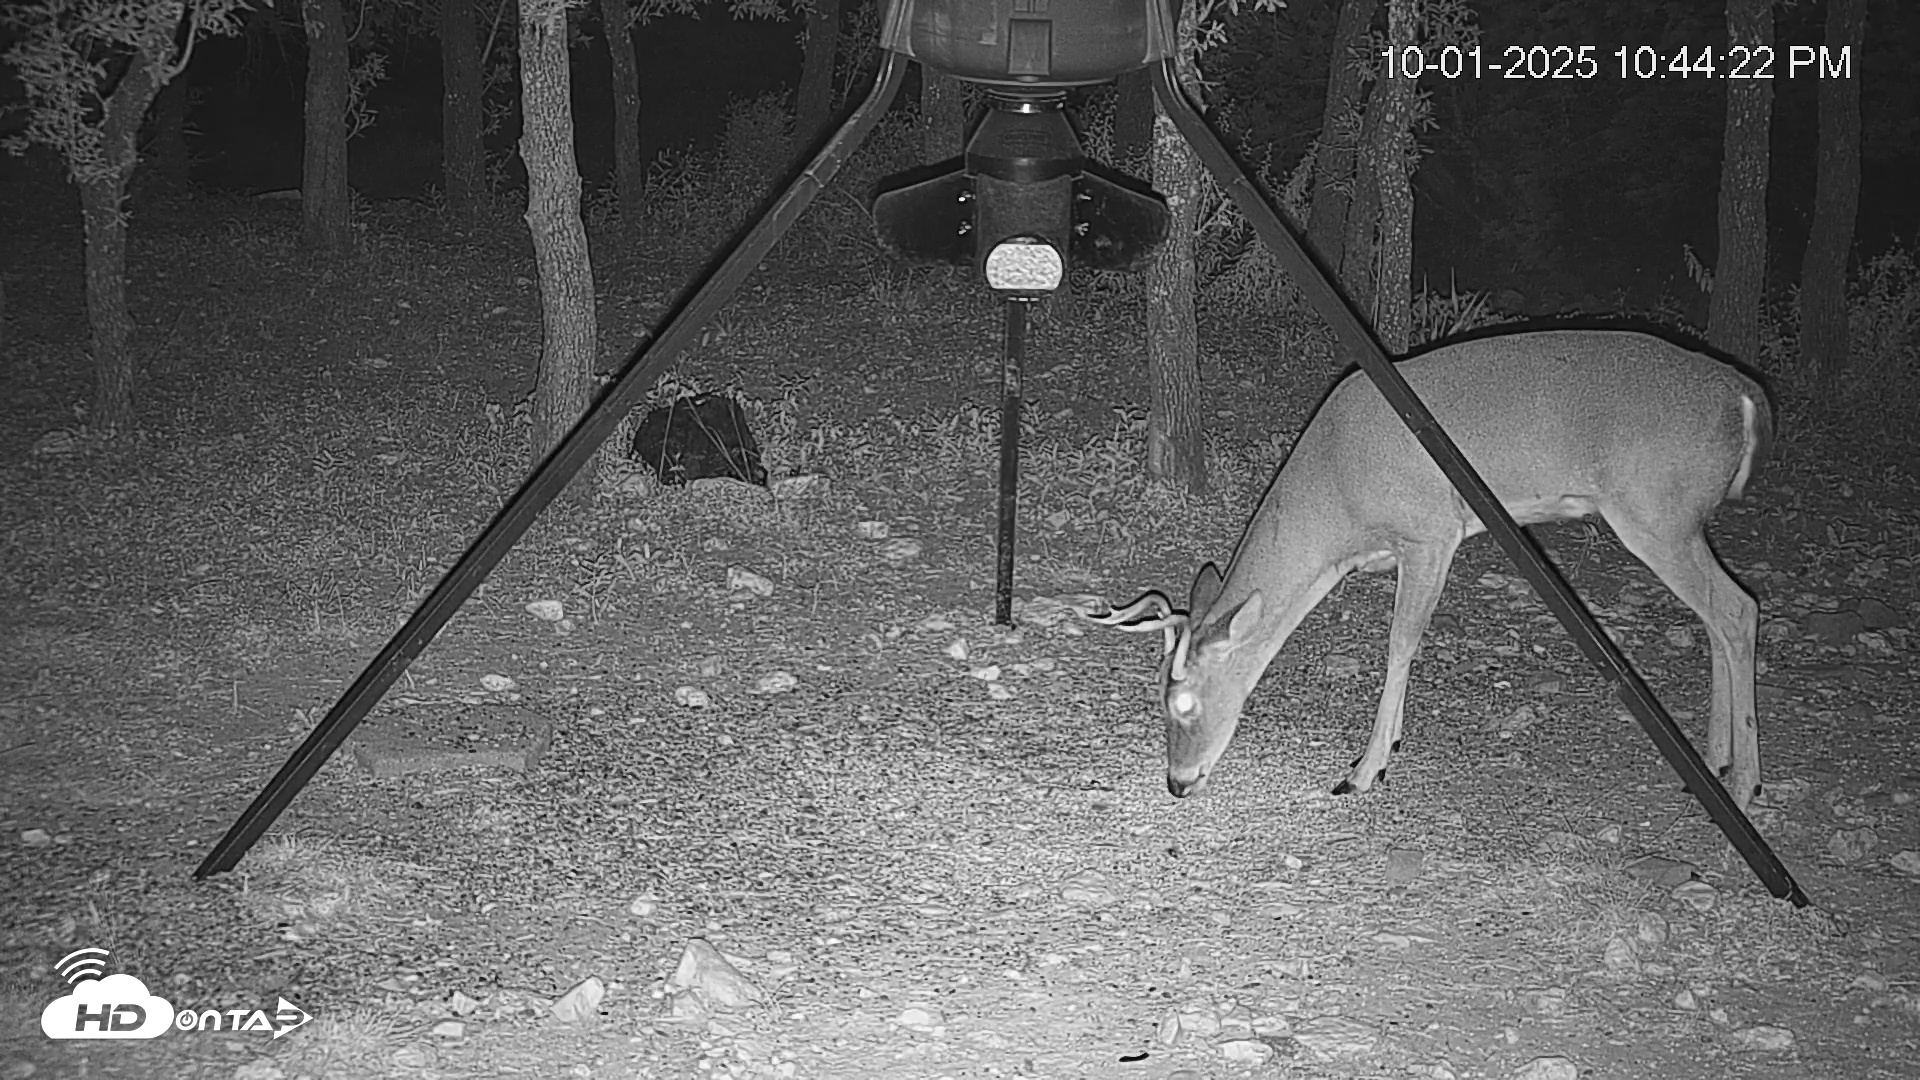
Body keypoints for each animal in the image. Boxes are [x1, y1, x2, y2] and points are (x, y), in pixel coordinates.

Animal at [1085, 329, 1769, 811]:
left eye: (1184, 703)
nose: (1177, 783)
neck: (1338, 504)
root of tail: (1745, 393)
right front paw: (1378, 756)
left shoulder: (1431, 531)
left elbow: (1400, 643)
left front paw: (1365, 770)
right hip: (1678, 522)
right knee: (1717, 615)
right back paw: (1714, 765)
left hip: (1657, 511)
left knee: (1739, 608)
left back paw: (1745, 786)